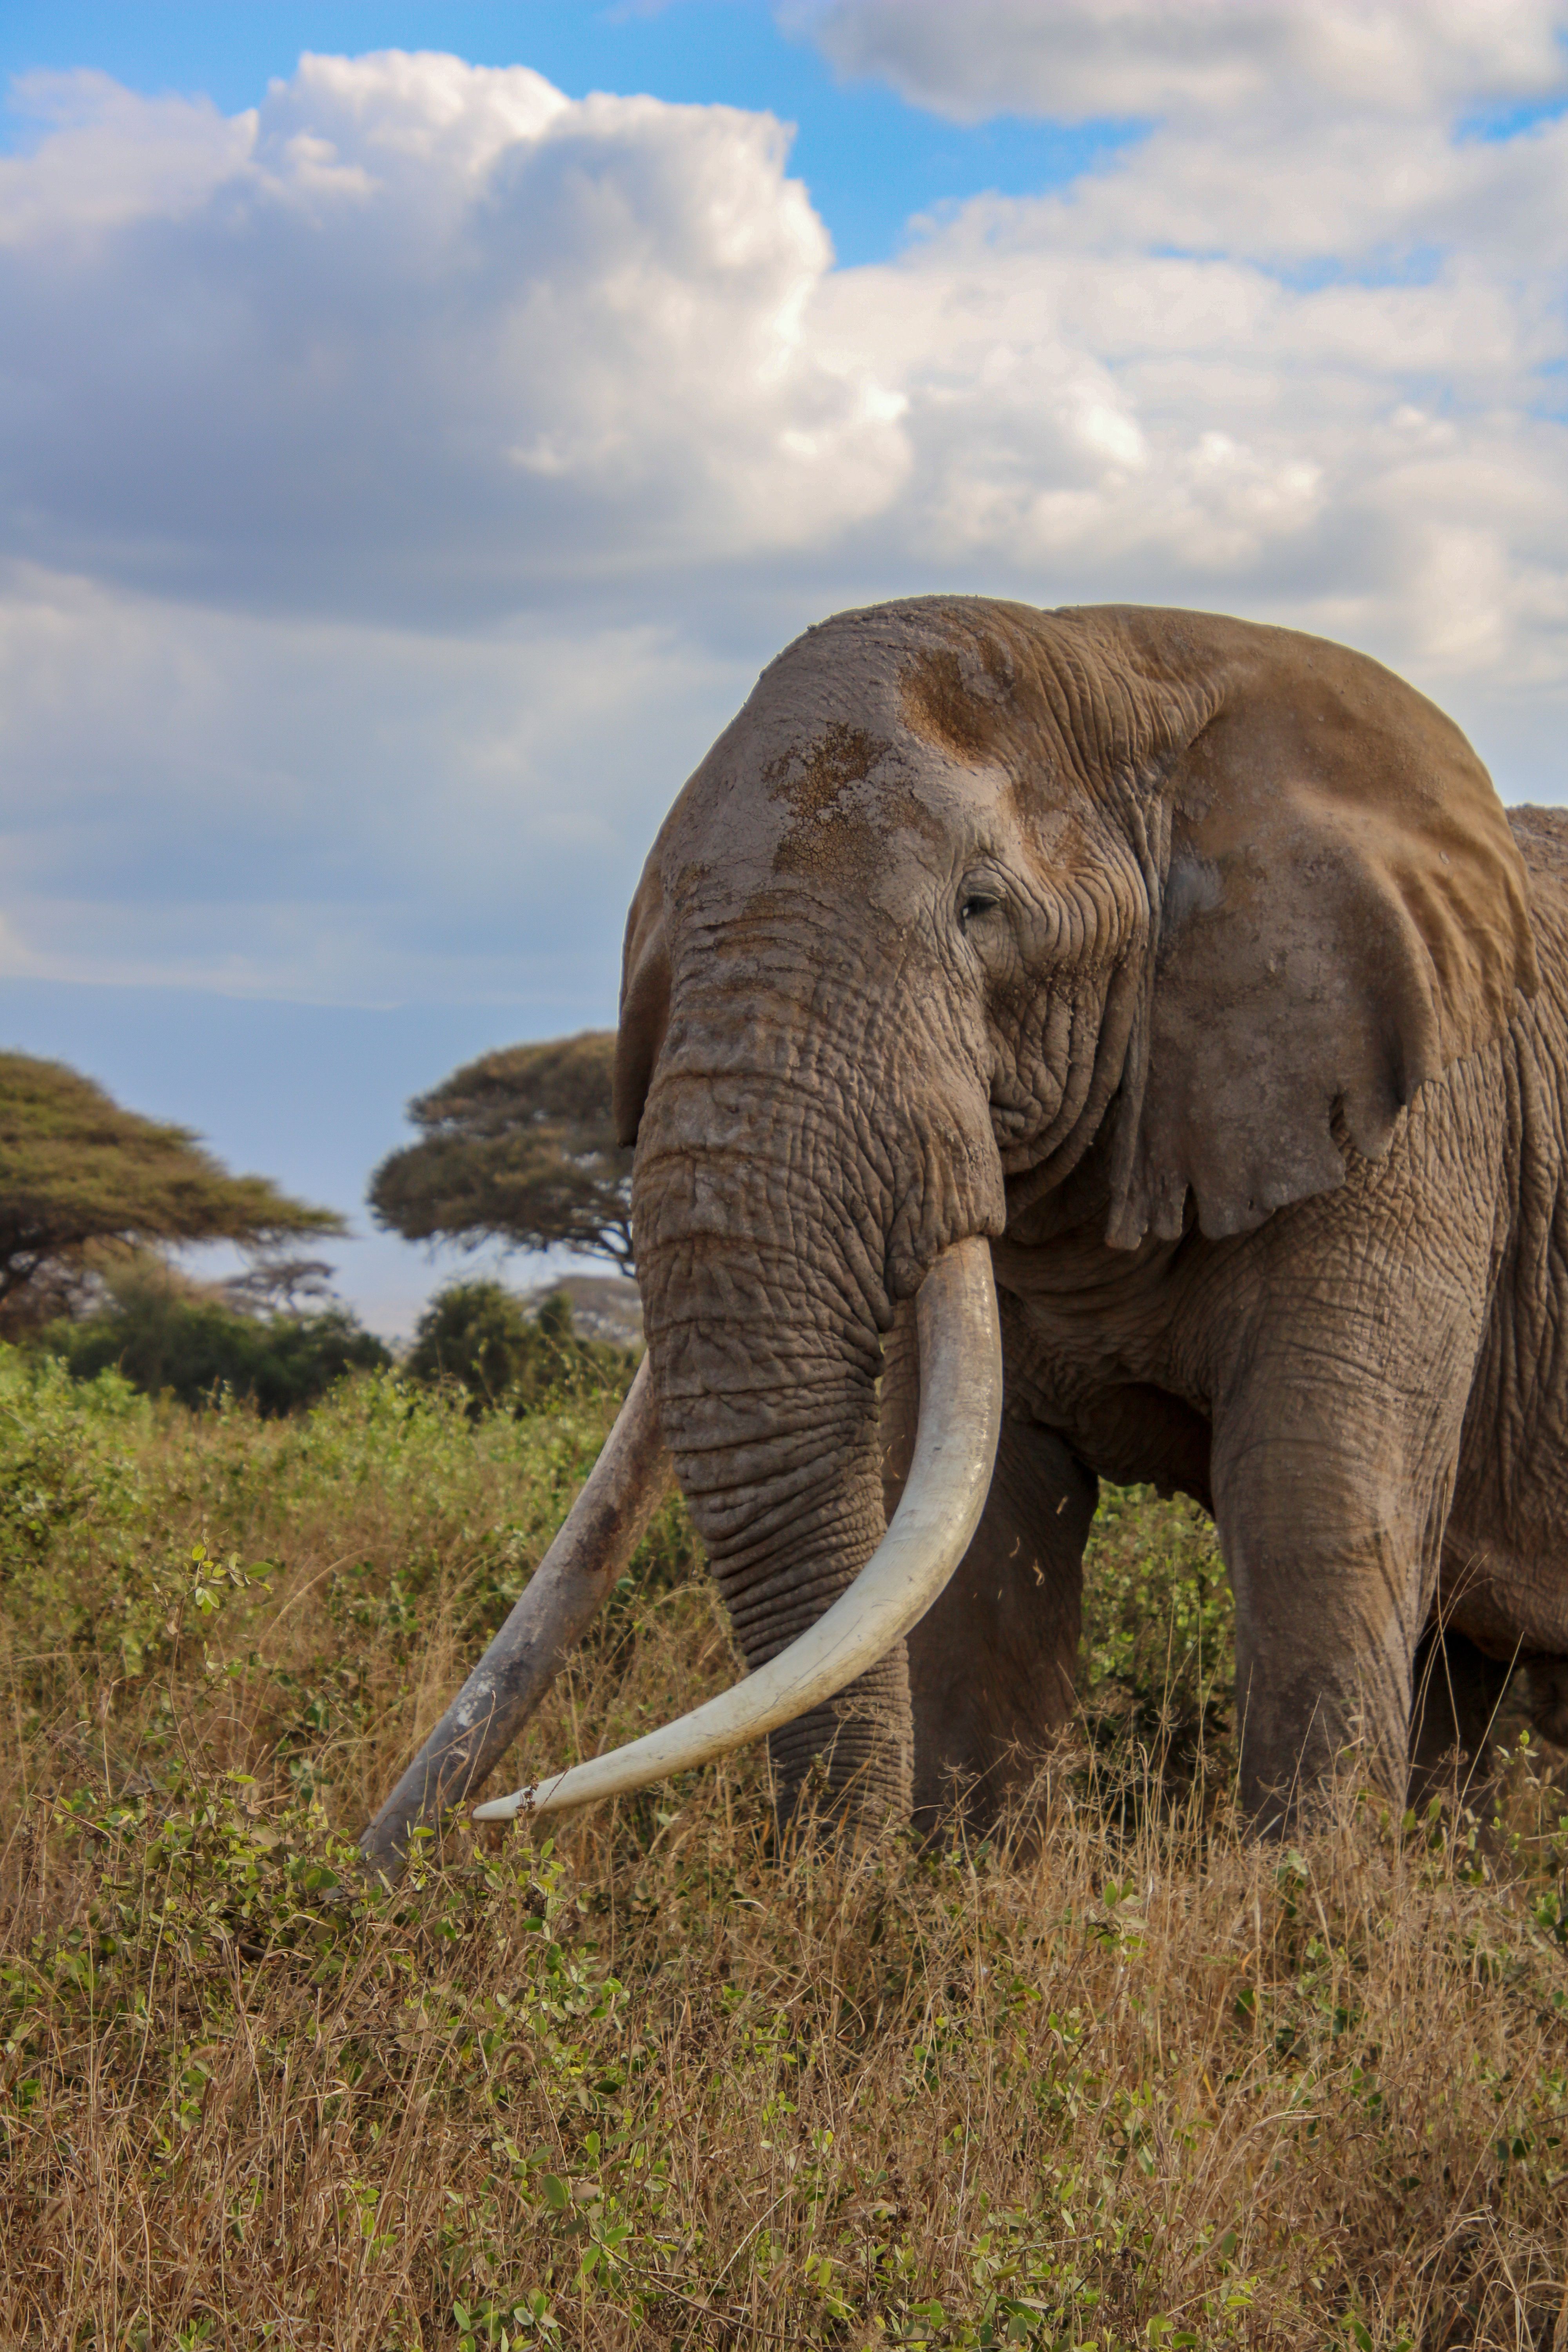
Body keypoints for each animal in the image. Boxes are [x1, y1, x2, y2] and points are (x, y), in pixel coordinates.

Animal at [368, 598, 1568, 1863]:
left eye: (979, 909)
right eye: (653, 932)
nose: (415, 1858)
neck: (1136, 664)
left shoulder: (1419, 1125)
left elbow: (1311, 1515)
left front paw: (1298, 1896)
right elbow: (984, 1543)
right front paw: (964, 1886)